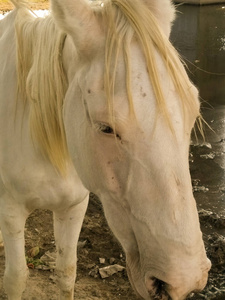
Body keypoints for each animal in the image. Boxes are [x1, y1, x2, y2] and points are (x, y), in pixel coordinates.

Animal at [0, 0, 211, 298]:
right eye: (106, 128)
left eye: (193, 112)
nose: (184, 280)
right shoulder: (11, 209)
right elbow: (16, 278)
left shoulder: (73, 207)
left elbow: (66, 273)